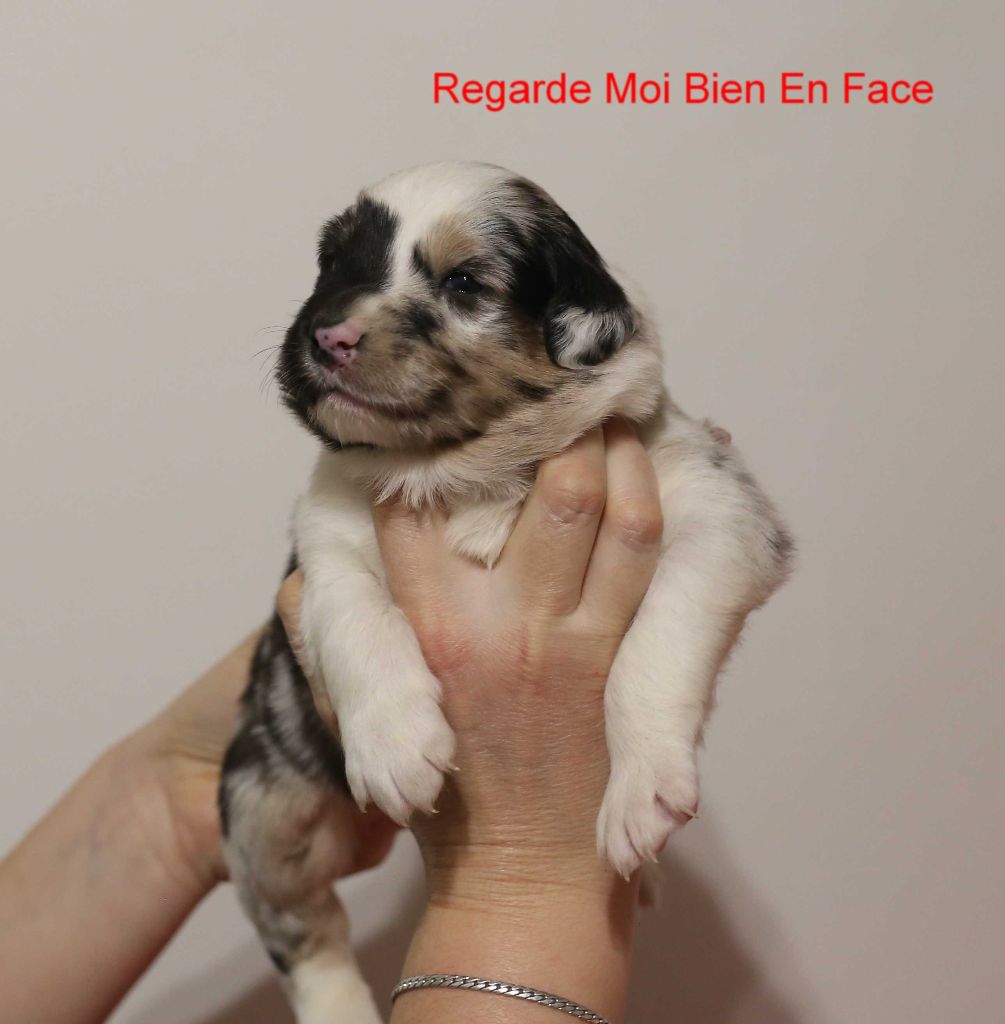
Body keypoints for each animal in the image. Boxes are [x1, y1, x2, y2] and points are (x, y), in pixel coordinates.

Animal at [218, 161, 793, 1022]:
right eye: (334, 263)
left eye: (463, 282)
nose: (328, 336)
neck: (468, 471)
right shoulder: (321, 541)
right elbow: (355, 615)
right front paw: (394, 745)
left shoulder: (719, 515)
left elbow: (656, 646)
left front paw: (641, 792)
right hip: (261, 810)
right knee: (304, 931)